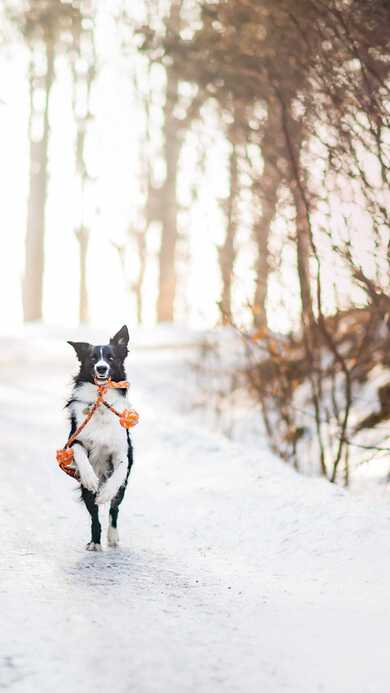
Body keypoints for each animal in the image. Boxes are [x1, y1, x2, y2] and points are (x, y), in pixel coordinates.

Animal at [67, 326, 134, 552]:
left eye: (111, 358)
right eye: (92, 358)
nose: (101, 368)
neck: (102, 404)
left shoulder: (122, 451)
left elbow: (119, 471)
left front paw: (106, 493)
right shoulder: (74, 439)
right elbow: (79, 452)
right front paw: (90, 477)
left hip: (122, 491)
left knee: (114, 510)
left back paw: (112, 536)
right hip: (86, 494)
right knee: (94, 515)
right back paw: (95, 542)